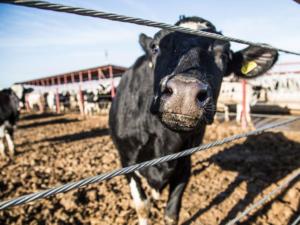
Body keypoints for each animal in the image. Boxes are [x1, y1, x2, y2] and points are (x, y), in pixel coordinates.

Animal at [109, 16, 278, 225]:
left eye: (224, 55)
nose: (185, 91)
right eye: (156, 47)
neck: (165, 141)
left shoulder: (184, 161)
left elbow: (171, 214)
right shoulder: (127, 159)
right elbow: (142, 206)